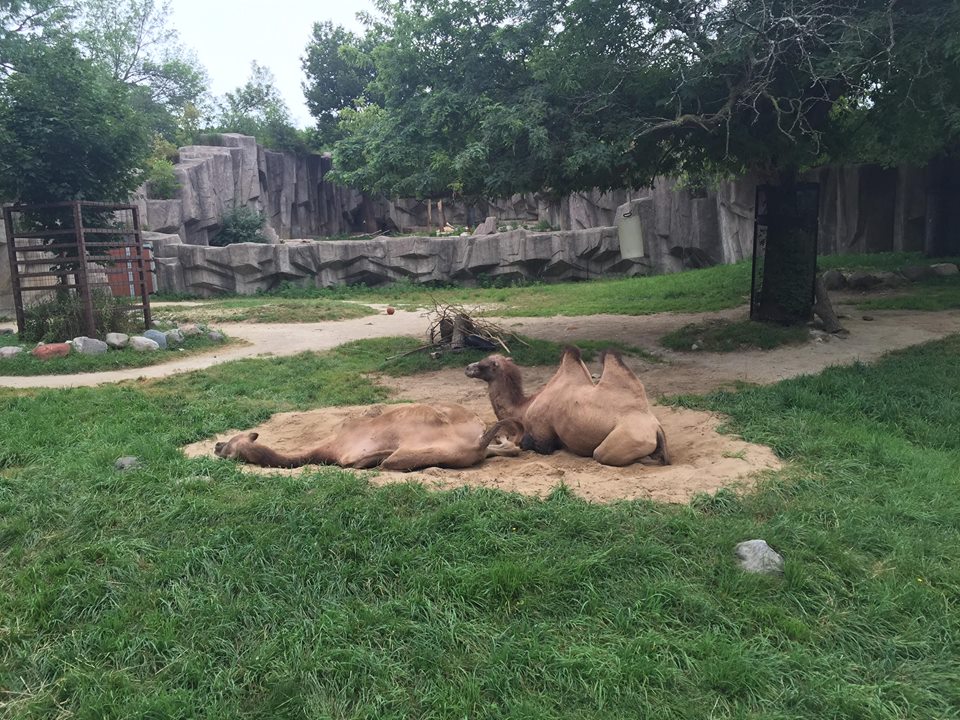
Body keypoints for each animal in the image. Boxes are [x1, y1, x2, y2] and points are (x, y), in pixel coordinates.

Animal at [465, 347, 670, 467]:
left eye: (484, 364)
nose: (467, 367)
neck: (524, 408)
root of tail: (656, 427)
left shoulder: (542, 435)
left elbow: (528, 444)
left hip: (623, 440)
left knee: (602, 454)